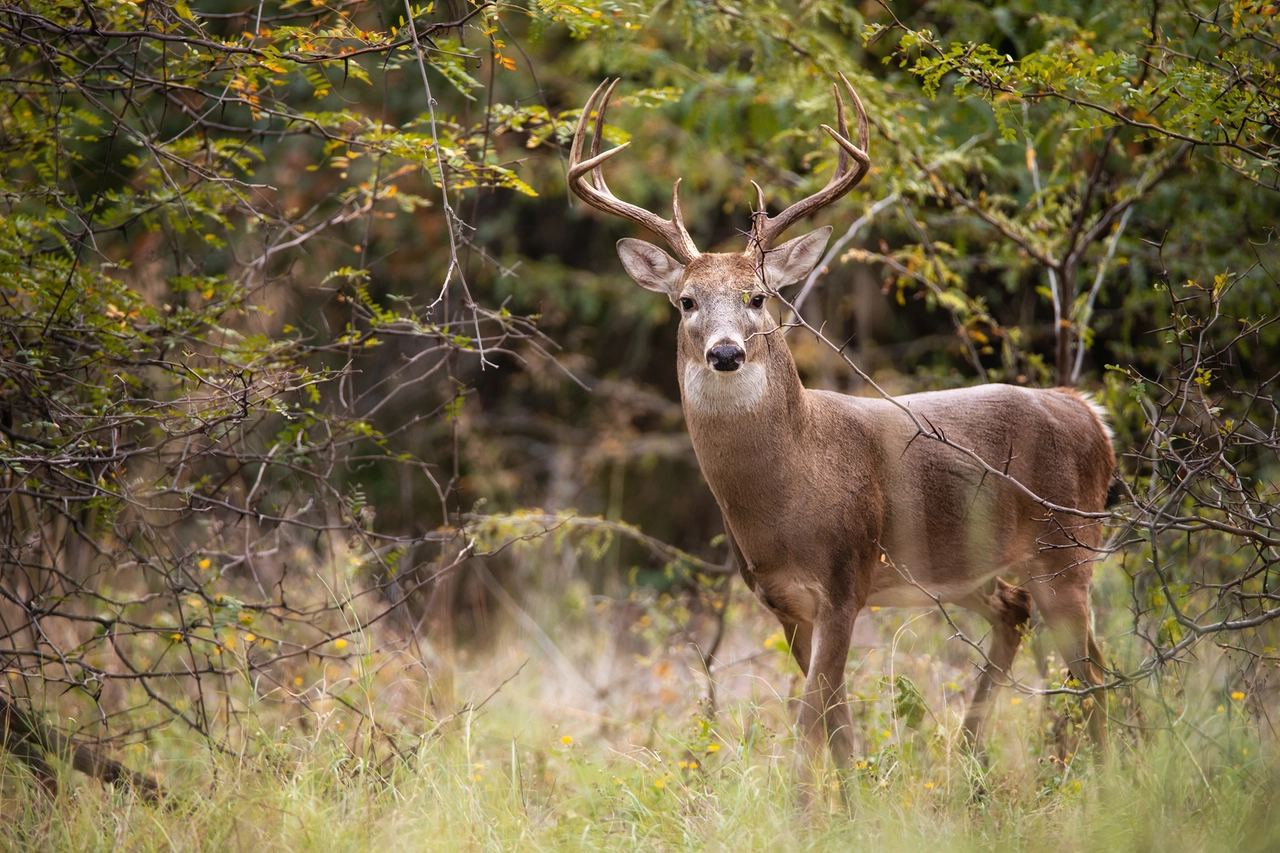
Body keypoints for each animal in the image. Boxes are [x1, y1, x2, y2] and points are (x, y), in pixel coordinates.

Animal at [565, 76, 1116, 778]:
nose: (725, 352)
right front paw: (851, 794)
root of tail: (1091, 414)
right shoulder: (784, 600)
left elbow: (809, 722)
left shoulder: (845, 578)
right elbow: (837, 723)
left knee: (1094, 674)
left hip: (1068, 548)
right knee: (1025, 620)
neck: (793, 487)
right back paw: (972, 760)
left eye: (758, 297)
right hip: (968, 569)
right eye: (686, 301)